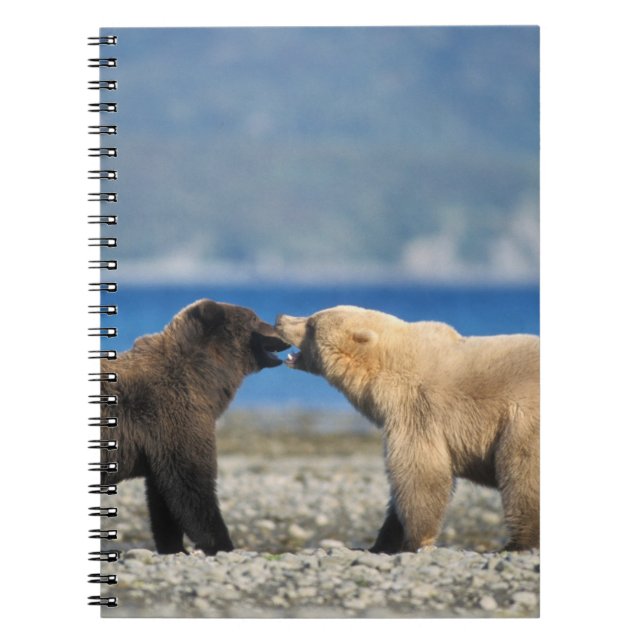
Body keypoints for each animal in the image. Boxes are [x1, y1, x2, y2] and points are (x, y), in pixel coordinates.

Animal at [100, 299, 290, 555]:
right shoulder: (173, 418)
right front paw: (222, 544)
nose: (284, 336)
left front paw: (173, 546)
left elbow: (163, 499)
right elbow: (191, 484)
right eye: (254, 318)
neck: (205, 378)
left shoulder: (159, 445)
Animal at [275, 305, 539, 553]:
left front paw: (414, 541)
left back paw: (518, 542)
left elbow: (419, 472)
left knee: (521, 473)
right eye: (313, 316)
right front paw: (382, 541)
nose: (280, 318)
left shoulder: (419, 411)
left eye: (311, 324)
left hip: (522, 423)